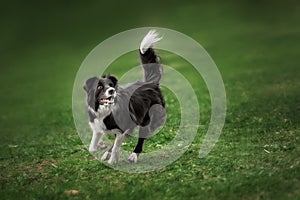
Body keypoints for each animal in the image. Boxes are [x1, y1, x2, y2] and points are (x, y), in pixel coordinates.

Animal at [83, 30, 166, 164]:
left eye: (111, 85)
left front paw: (113, 160)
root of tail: (149, 83)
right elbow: (92, 147)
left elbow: (116, 145)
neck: (106, 110)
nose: (112, 90)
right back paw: (107, 153)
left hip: (149, 119)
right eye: (99, 87)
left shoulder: (125, 126)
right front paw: (101, 147)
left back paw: (133, 156)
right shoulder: (97, 127)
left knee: (141, 138)